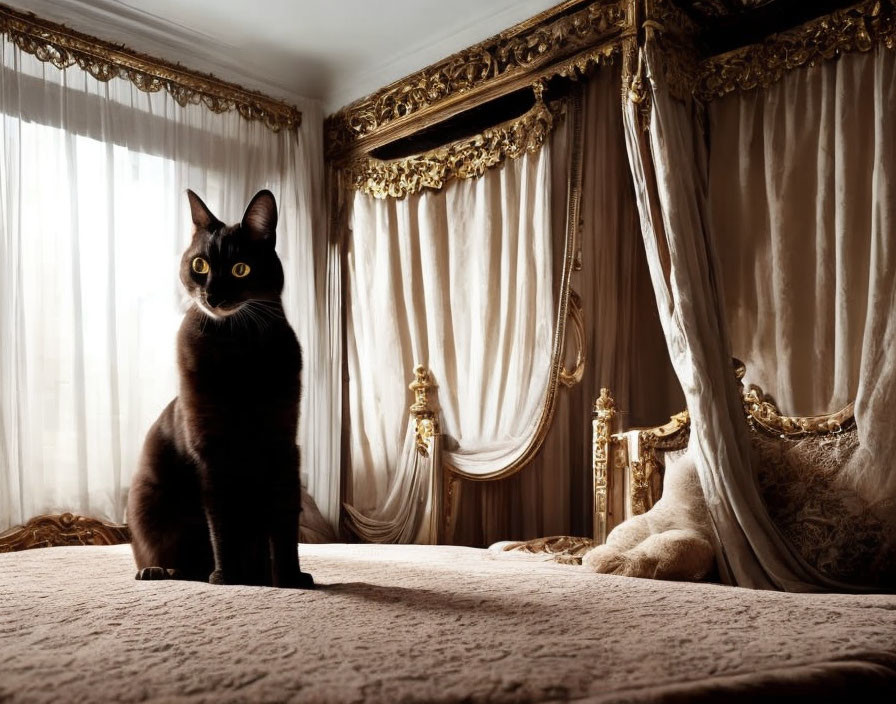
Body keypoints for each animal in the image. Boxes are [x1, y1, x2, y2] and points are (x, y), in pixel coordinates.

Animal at [128, 188, 314, 588]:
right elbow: (222, 521)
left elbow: (284, 519)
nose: (212, 296)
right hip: (147, 500)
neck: (235, 343)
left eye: (240, 268)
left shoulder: (282, 443)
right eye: (199, 265)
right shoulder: (211, 449)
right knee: (166, 551)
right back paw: (163, 570)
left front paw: (289, 578)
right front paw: (228, 577)